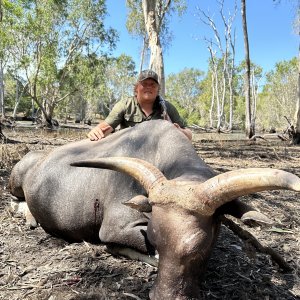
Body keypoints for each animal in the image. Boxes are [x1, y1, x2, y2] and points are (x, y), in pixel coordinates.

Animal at [7, 120, 300, 298]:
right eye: (155, 239)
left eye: (199, 246)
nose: (164, 296)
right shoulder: (116, 228)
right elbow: (126, 245)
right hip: (15, 181)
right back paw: (29, 216)